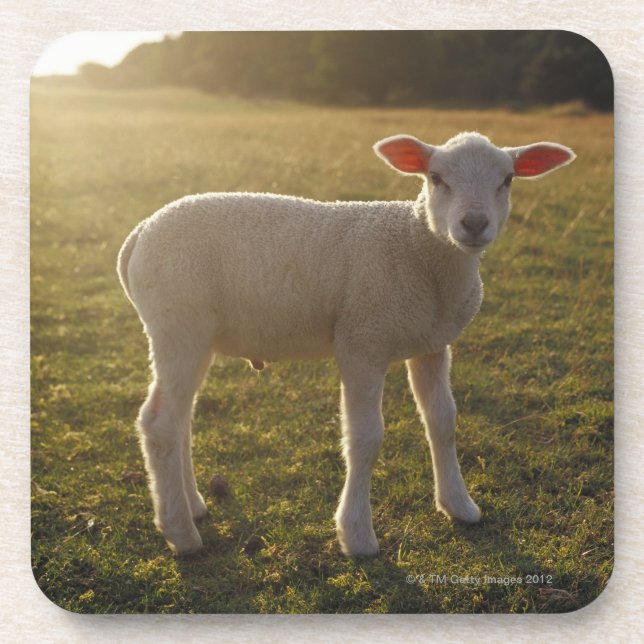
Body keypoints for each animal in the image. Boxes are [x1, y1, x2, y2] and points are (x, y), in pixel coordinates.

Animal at [117, 131, 575, 557]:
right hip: (177, 326)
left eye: (508, 179)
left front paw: (459, 506)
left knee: (180, 418)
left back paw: (193, 506)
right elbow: (365, 439)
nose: (475, 224)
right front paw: (356, 536)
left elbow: (443, 422)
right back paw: (181, 534)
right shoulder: (362, 341)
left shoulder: (432, 345)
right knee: (159, 423)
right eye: (435, 177)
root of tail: (139, 233)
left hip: (194, 335)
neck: (418, 247)